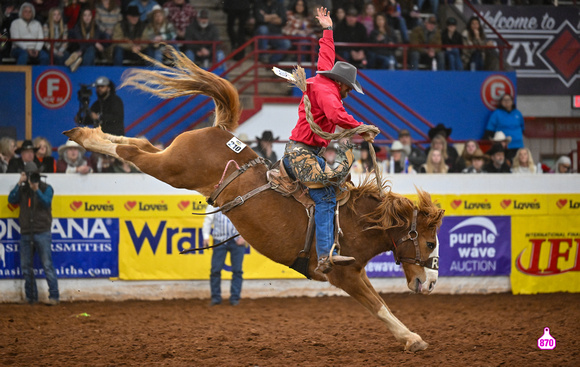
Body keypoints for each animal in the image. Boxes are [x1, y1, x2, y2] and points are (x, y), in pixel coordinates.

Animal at [64, 50, 444, 352]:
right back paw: (83, 136)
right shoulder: (344, 273)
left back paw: (86, 131)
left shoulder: (354, 272)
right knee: (133, 153)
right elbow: (379, 306)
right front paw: (412, 339)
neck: (353, 220)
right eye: (429, 242)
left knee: (141, 143)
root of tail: (219, 131)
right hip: (174, 170)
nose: (429, 284)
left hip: (171, 161)